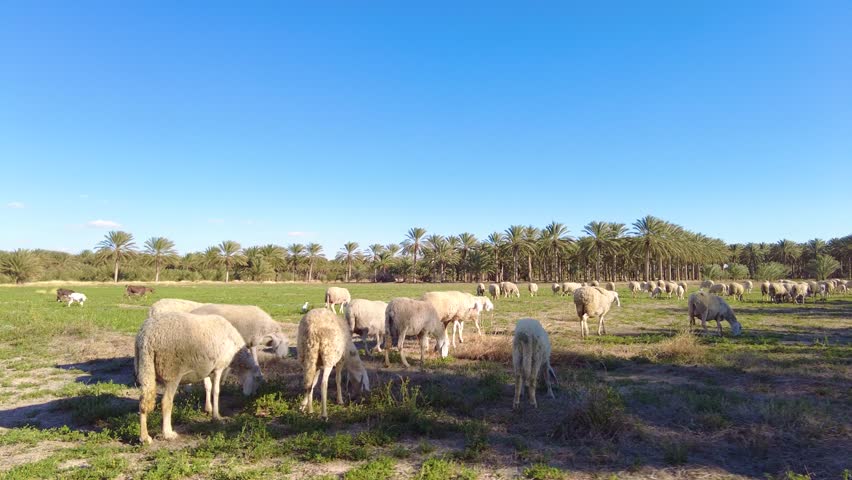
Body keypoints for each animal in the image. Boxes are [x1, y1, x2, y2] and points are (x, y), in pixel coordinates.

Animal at [135, 311, 262, 443]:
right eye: (257, 378)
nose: (252, 396)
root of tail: (147, 337)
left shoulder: (206, 369)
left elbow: (208, 387)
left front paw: (208, 408)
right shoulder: (219, 367)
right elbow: (216, 391)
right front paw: (217, 416)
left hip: (145, 369)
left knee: (143, 401)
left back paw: (144, 437)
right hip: (171, 372)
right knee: (166, 402)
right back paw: (168, 433)